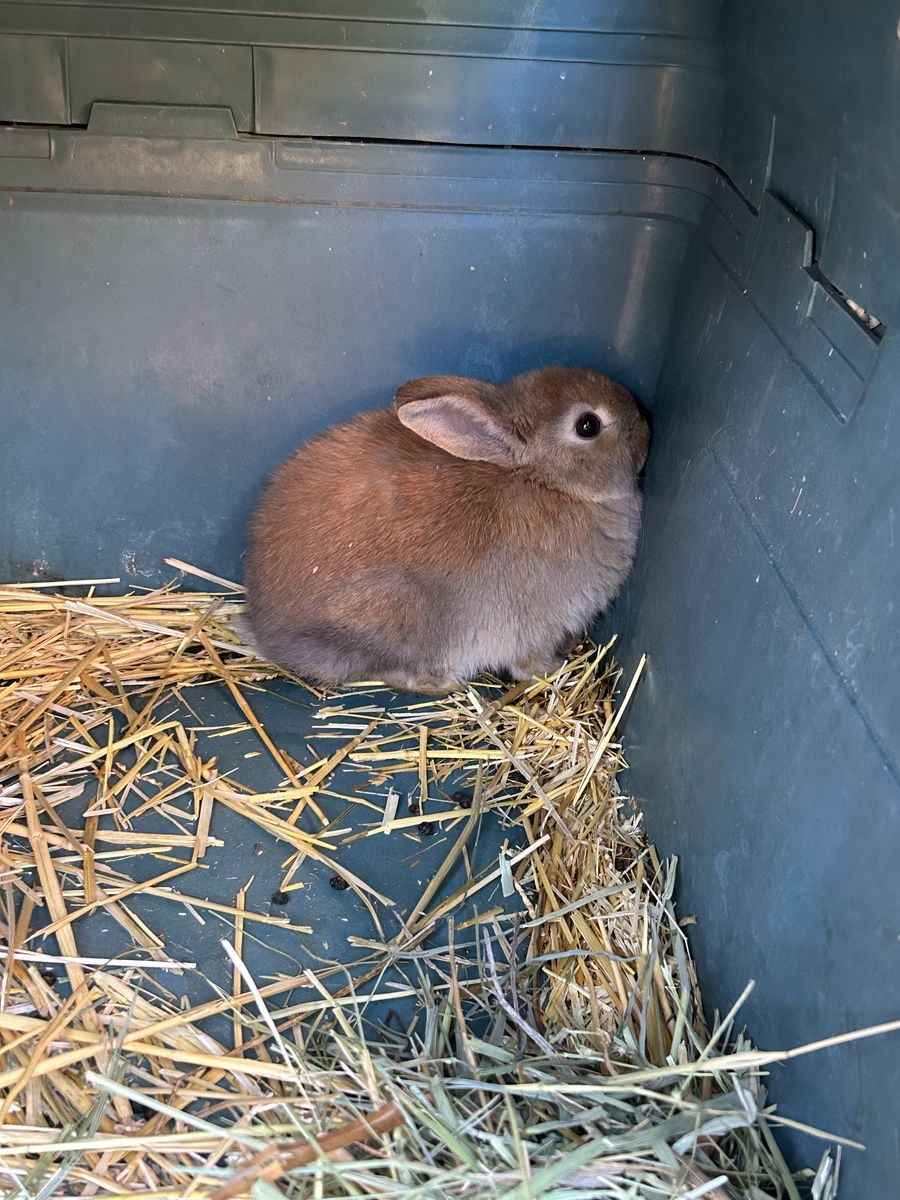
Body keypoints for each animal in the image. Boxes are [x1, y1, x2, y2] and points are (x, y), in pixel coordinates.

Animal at [244, 366, 649, 694]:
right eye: (588, 425)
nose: (646, 426)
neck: (546, 480)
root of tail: (263, 628)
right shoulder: (536, 623)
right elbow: (528, 662)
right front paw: (556, 669)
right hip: (396, 615)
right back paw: (446, 683)